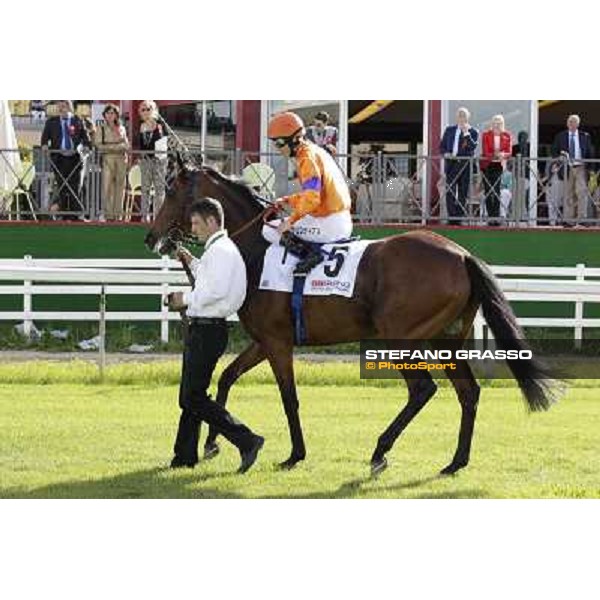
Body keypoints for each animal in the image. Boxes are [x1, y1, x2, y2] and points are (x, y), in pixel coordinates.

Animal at [145, 164, 556, 474]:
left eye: (171, 192)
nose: (151, 236)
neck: (257, 251)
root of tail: (461, 254)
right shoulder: (264, 341)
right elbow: (227, 378)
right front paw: (213, 444)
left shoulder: (277, 342)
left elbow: (289, 397)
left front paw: (294, 454)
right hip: (445, 340)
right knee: (468, 392)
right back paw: (455, 462)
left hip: (400, 337)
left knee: (423, 389)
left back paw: (380, 451)